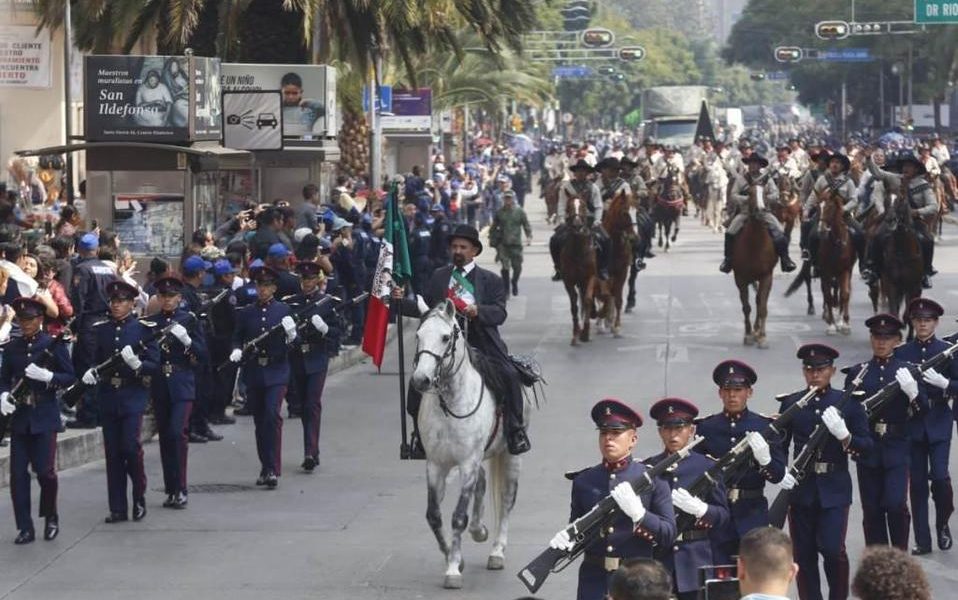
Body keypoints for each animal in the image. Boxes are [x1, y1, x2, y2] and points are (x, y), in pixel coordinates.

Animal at [410, 298, 524, 588]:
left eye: (445, 337)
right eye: (418, 335)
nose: (420, 380)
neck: (449, 404)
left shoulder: (467, 461)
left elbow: (458, 517)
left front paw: (452, 569)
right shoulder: (436, 465)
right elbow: (434, 515)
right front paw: (453, 557)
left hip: (511, 456)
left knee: (506, 500)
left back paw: (497, 551)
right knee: (482, 483)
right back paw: (479, 529)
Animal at [736, 178, 780, 350]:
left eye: (766, 192)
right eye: (749, 192)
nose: (761, 210)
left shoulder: (766, 276)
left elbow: (762, 306)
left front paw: (762, 336)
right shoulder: (740, 278)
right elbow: (746, 307)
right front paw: (748, 335)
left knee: (759, 300)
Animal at [812, 192, 860, 336]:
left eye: (830, 207)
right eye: (817, 207)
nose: (821, 231)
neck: (836, 242)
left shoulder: (845, 270)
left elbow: (845, 294)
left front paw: (844, 324)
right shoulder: (825, 271)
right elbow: (828, 295)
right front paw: (831, 325)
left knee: (842, 292)